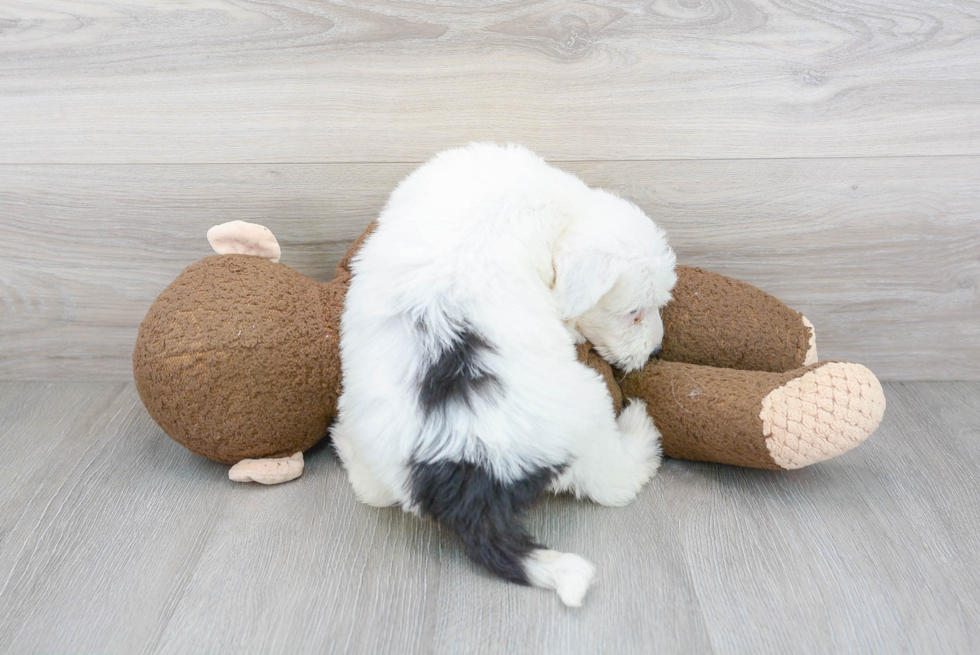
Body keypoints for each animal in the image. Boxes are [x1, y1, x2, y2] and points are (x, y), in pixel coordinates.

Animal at [334, 144, 676, 608]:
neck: (563, 207)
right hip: (588, 408)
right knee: (613, 482)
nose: (656, 350)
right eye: (633, 312)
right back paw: (641, 431)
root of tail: (469, 479)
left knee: (371, 491)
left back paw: (343, 442)